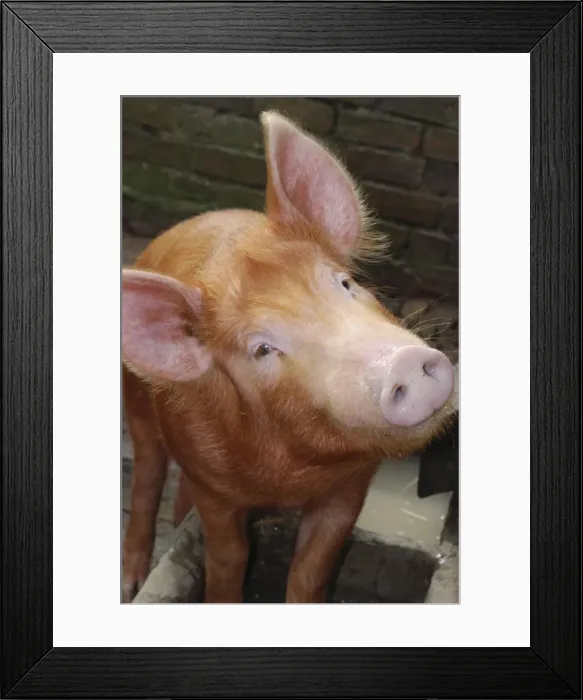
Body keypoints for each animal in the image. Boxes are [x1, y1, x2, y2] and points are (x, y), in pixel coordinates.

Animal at [121, 110, 456, 604]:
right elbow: (228, 560)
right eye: (263, 348)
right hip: (137, 405)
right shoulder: (212, 487)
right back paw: (132, 583)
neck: (293, 474)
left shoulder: (351, 485)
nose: (403, 363)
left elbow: (313, 567)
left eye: (344, 283)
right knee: (146, 474)